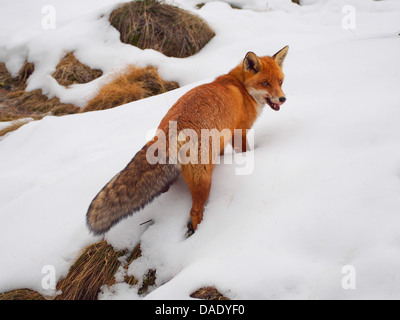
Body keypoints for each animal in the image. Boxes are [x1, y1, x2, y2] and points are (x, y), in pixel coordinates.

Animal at [86, 45, 288, 235]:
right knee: (194, 212)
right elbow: (246, 151)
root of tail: (170, 131)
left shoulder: (222, 140)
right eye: (265, 83)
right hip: (204, 181)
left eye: (280, 81)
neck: (240, 87)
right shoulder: (240, 132)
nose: (283, 99)